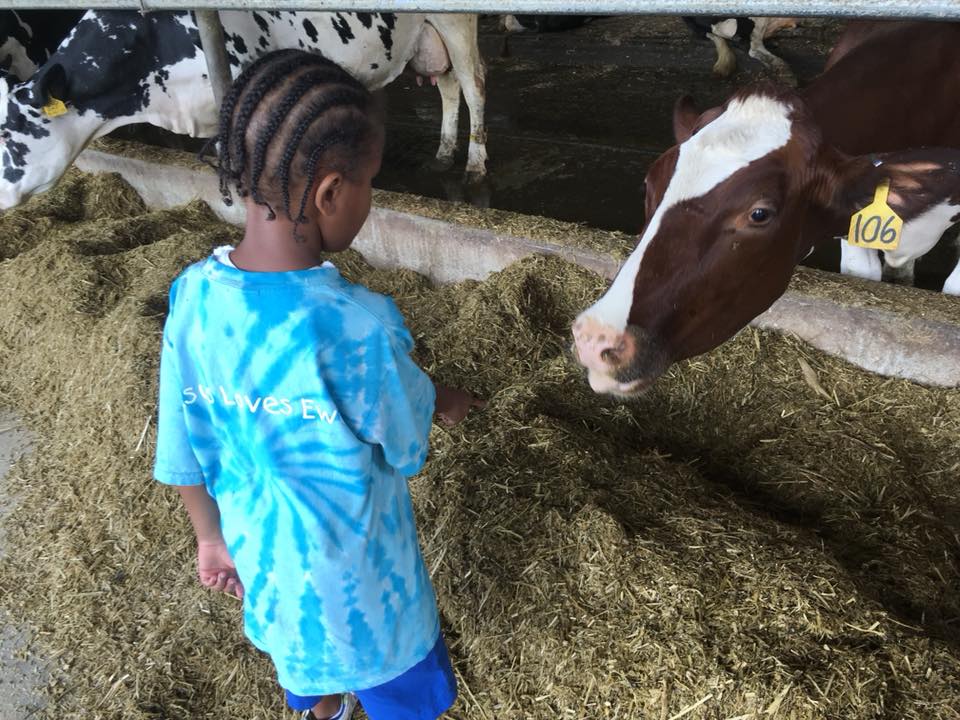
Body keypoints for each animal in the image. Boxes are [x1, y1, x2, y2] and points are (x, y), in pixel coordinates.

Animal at [0, 9, 484, 210]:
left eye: (10, 138)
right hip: (426, 38)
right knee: (447, 86)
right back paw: (442, 154)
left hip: (455, 22)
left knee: (473, 84)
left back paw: (475, 166)